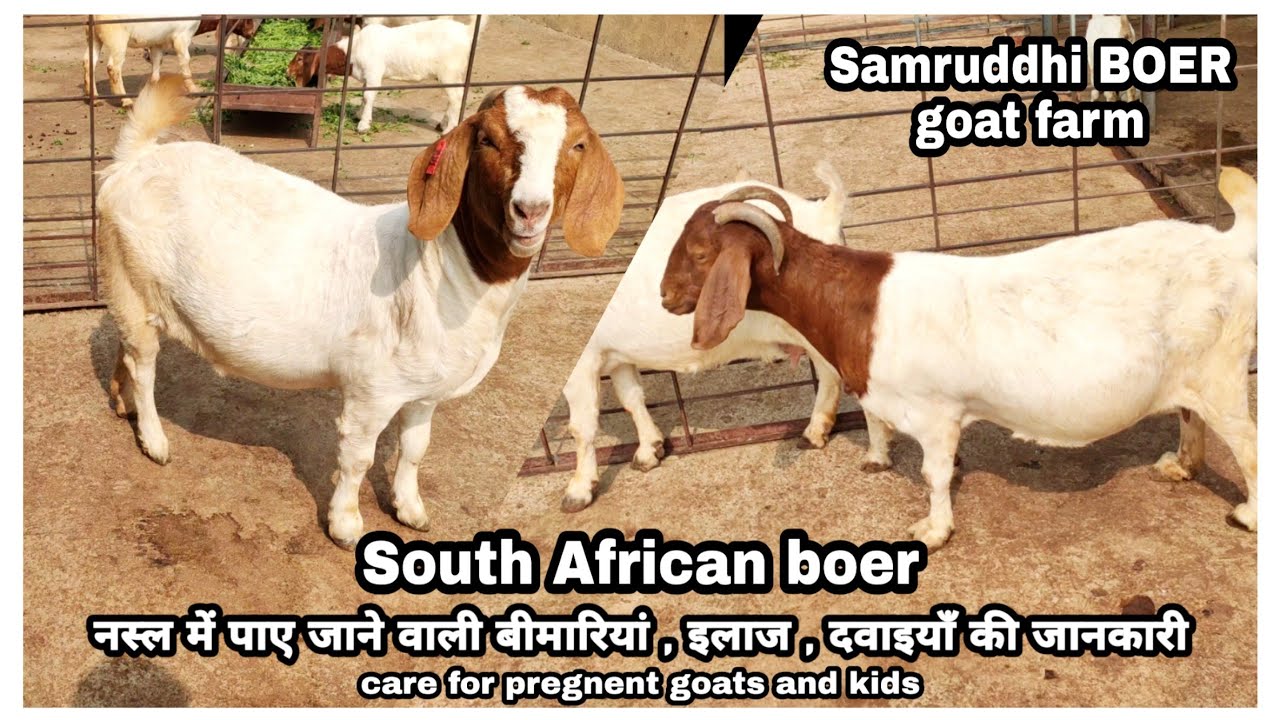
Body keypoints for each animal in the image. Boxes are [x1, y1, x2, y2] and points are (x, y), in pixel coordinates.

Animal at [83, 16, 258, 106]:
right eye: (247, 19)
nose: (251, 34)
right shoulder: (182, 35)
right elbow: (185, 61)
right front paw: (195, 91)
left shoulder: (158, 41)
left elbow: (157, 61)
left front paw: (153, 87)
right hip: (117, 38)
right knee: (113, 67)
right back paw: (126, 101)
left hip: (93, 36)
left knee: (88, 62)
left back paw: (94, 99)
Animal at [97, 77, 624, 548]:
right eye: (488, 140)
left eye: (577, 145)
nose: (530, 210)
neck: (437, 269)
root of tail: (137, 158)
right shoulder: (373, 389)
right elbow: (358, 458)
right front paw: (346, 526)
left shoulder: (424, 393)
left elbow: (415, 450)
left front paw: (411, 510)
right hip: (131, 281)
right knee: (143, 363)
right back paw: (154, 440)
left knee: (125, 351)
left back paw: (122, 404)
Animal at [286, 17, 486, 134]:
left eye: (299, 59)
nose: (287, 71)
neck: (354, 48)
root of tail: (468, 31)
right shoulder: (368, 76)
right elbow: (364, 94)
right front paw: (359, 114)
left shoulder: (374, 72)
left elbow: (368, 96)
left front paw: (363, 125)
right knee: (455, 97)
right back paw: (443, 124)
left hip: (449, 72)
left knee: (456, 97)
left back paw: (449, 129)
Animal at [560, 163, 851, 512]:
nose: (665, 294)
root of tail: (825, 212)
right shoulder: (616, 355)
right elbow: (631, 398)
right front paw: (649, 450)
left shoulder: (583, 361)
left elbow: (582, 427)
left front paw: (578, 490)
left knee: (831, 376)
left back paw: (814, 430)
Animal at [660, 168, 1257, 550]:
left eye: (699, 253)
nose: (665, 298)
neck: (858, 302)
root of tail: (1229, 245)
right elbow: (879, 425)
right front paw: (876, 458)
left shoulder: (935, 412)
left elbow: (934, 473)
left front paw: (933, 531)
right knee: (1190, 416)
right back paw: (1181, 466)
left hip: (1222, 375)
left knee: (1250, 444)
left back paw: (1248, 514)